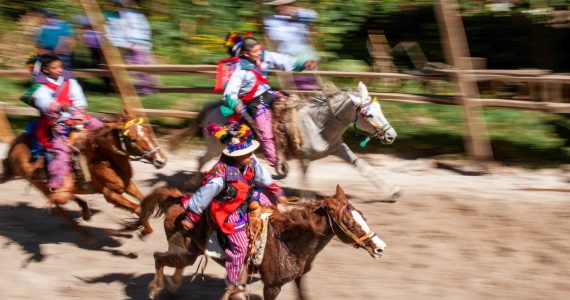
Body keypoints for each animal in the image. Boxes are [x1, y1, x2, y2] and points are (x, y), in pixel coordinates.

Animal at [1, 115, 166, 239]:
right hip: (39, 184)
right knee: (59, 205)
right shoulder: (110, 193)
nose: (161, 160)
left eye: (148, 132)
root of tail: (15, 147)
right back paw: (88, 236)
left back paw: (85, 210)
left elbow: (144, 201)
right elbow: (138, 208)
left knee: (65, 196)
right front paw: (142, 230)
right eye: (132, 139)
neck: (103, 157)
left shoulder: (128, 184)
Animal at [129, 185, 386, 300]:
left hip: (190, 254)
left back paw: (173, 286)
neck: (288, 241)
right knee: (158, 258)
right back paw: (155, 289)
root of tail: (177, 199)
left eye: (363, 216)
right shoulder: (271, 286)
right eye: (350, 223)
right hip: (182, 252)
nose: (380, 247)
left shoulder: (299, 277)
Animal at [171, 82, 398, 199]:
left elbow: (363, 167)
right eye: (369, 114)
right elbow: (305, 181)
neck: (318, 123)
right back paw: (193, 184)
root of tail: (212, 106)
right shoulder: (305, 158)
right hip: (216, 146)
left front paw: (393, 190)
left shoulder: (338, 148)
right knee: (202, 160)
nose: (391, 135)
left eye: (380, 109)